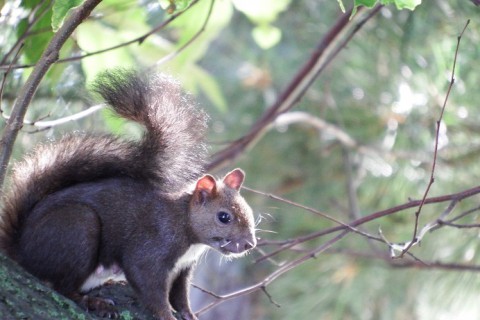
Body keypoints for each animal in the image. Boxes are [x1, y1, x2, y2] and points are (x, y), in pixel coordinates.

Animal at [0, 69, 258, 318]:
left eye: (250, 212)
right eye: (223, 217)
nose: (249, 244)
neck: (185, 223)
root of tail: (21, 249)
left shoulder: (184, 268)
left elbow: (180, 295)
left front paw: (189, 315)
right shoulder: (154, 244)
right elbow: (148, 283)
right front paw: (166, 315)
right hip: (76, 227)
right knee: (62, 286)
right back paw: (93, 302)